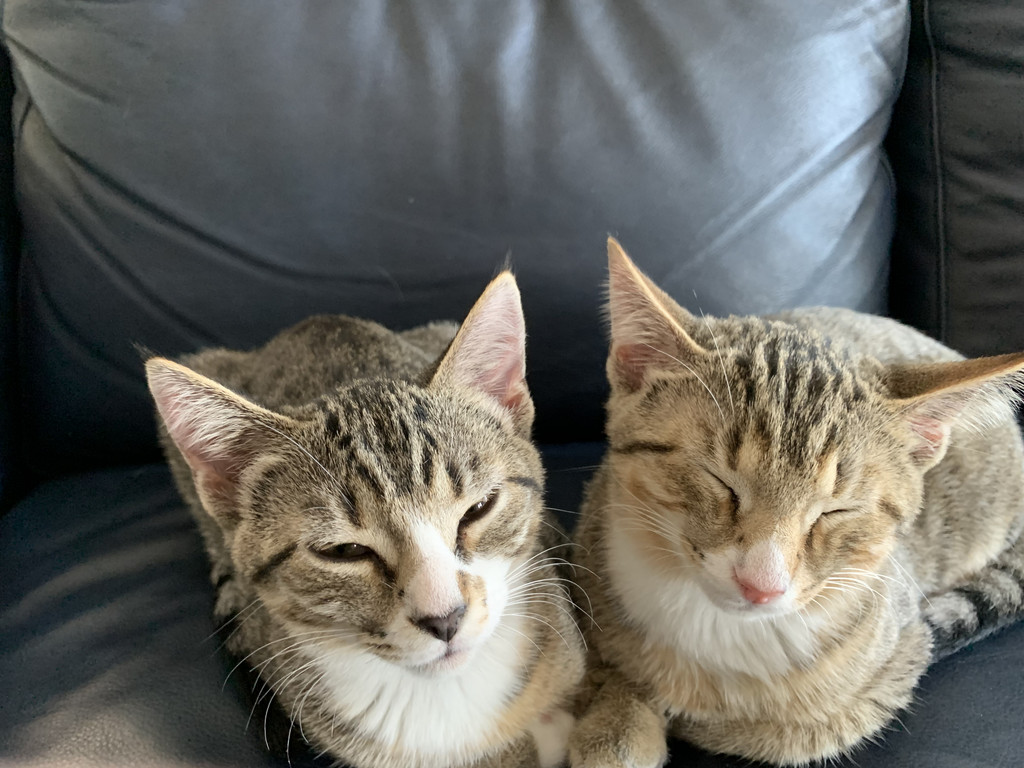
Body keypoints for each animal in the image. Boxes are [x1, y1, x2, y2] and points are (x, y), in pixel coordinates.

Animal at [568, 238, 1024, 767]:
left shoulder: (885, 672)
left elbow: (778, 731)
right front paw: (616, 721)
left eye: (835, 510)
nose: (760, 586)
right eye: (720, 481)